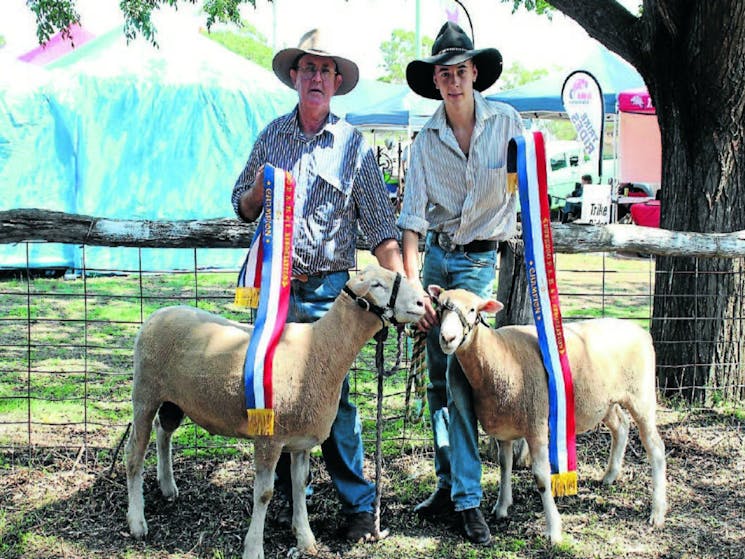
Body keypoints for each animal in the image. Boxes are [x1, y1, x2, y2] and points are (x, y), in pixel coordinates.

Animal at [125, 266, 422, 559]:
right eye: (377, 285)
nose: (422, 302)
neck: (319, 349)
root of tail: (159, 313)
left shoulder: (301, 441)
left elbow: (300, 485)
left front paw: (305, 539)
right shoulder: (269, 438)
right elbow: (264, 493)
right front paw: (254, 548)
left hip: (174, 399)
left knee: (163, 431)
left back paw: (167, 486)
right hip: (145, 393)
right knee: (134, 453)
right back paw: (137, 521)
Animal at [428, 286, 664, 544]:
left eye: (472, 309)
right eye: (440, 307)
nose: (447, 339)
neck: (499, 356)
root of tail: (641, 332)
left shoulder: (536, 426)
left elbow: (541, 478)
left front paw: (553, 530)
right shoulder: (504, 430)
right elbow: (504, 466)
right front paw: (501, 507)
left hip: (642, 396)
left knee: (656, 448)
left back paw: (657, 512)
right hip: (603, 402)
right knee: (621, 426)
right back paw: (610, 476)